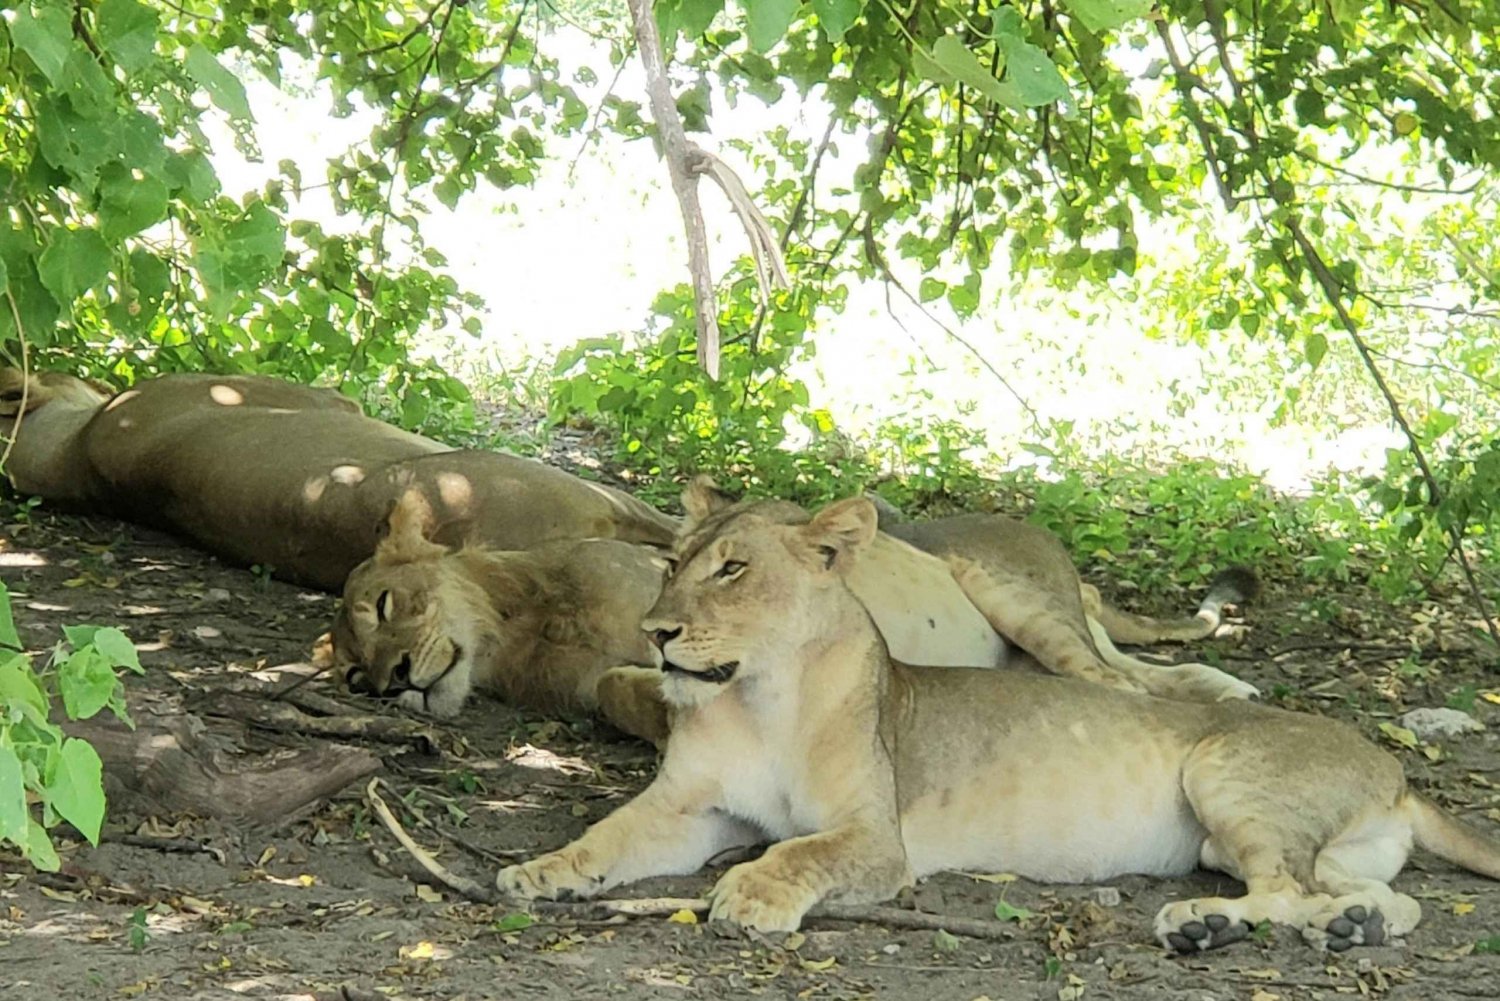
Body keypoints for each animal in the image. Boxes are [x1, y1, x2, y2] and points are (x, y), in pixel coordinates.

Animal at [334, 486, 1260, 744]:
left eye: (385, 601)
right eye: (348, 668)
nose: (386, 682)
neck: (522, 620)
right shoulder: (601, 676)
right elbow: (622, 689)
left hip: (1014, 597)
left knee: (1114, 679)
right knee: (1139, 668)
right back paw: (1227, 688)